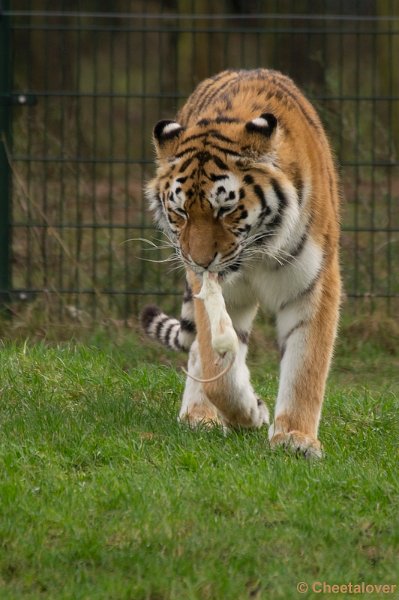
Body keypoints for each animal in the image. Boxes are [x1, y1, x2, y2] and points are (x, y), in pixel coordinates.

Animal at [141, 68, 340, 458]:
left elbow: (306, 364)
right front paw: (250, 413)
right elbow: (218, 370)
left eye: (226, 209)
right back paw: (198, 415)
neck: (256, 252)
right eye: (181, 212)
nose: (200, 260)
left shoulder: (313, 284)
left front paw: (296, 438)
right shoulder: (216, 293)